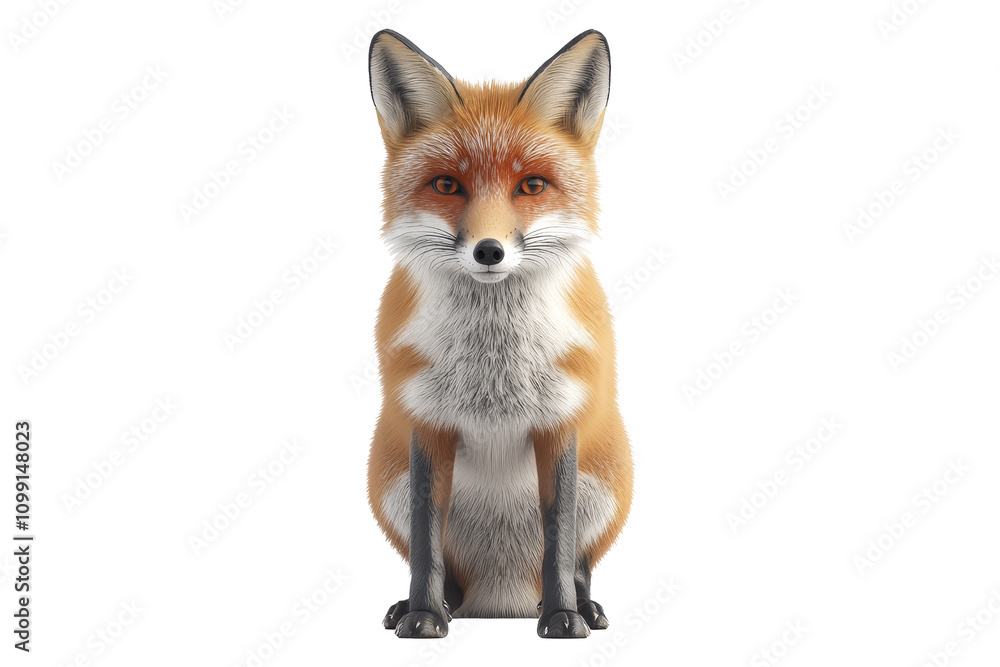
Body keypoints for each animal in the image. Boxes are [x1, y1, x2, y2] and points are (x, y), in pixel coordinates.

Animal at [365, 28, 633, 639]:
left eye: (531, 185)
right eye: (447, 185)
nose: (489, 252)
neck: (494, 365)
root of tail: (498, 600)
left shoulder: (560, 420)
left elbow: (558, 537)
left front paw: (562, 617)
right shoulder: (426, 421)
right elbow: (426, 542)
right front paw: (422, 616)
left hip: (607, 484)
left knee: (579, 561)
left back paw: (584, 606)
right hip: (385, 480)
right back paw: (424, 606)